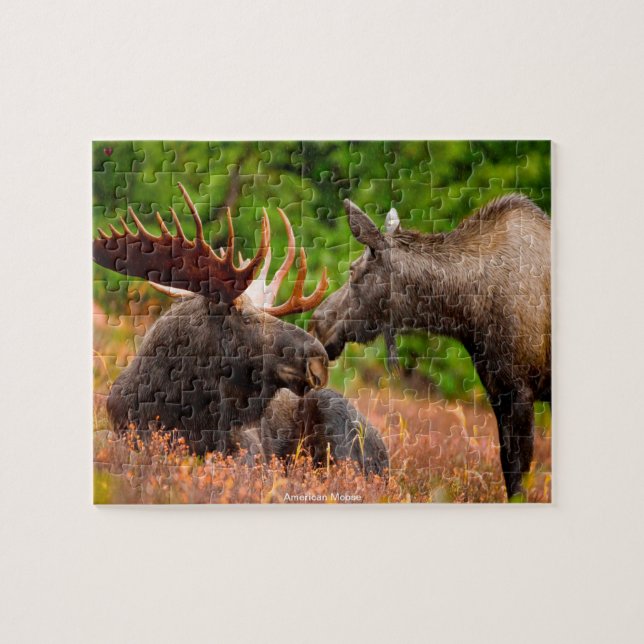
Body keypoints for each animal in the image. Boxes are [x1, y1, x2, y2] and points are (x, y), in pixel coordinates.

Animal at [308, 194, 551, 499]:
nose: (317, 322)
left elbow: (519, 476)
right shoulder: (499, 390)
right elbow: (508, 469)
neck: (469, 314)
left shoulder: (521, 390)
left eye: (353, 271)